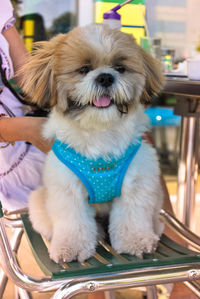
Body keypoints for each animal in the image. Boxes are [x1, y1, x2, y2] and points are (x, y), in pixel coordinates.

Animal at [21, 23, 166, 264]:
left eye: (120, 68)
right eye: (83, 69)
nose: (105, 77)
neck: (100, 132)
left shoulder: (136, 183)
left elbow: (132, 216)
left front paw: (135, 241)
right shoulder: (67, 189)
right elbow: (74, 222)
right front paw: (71, 247)